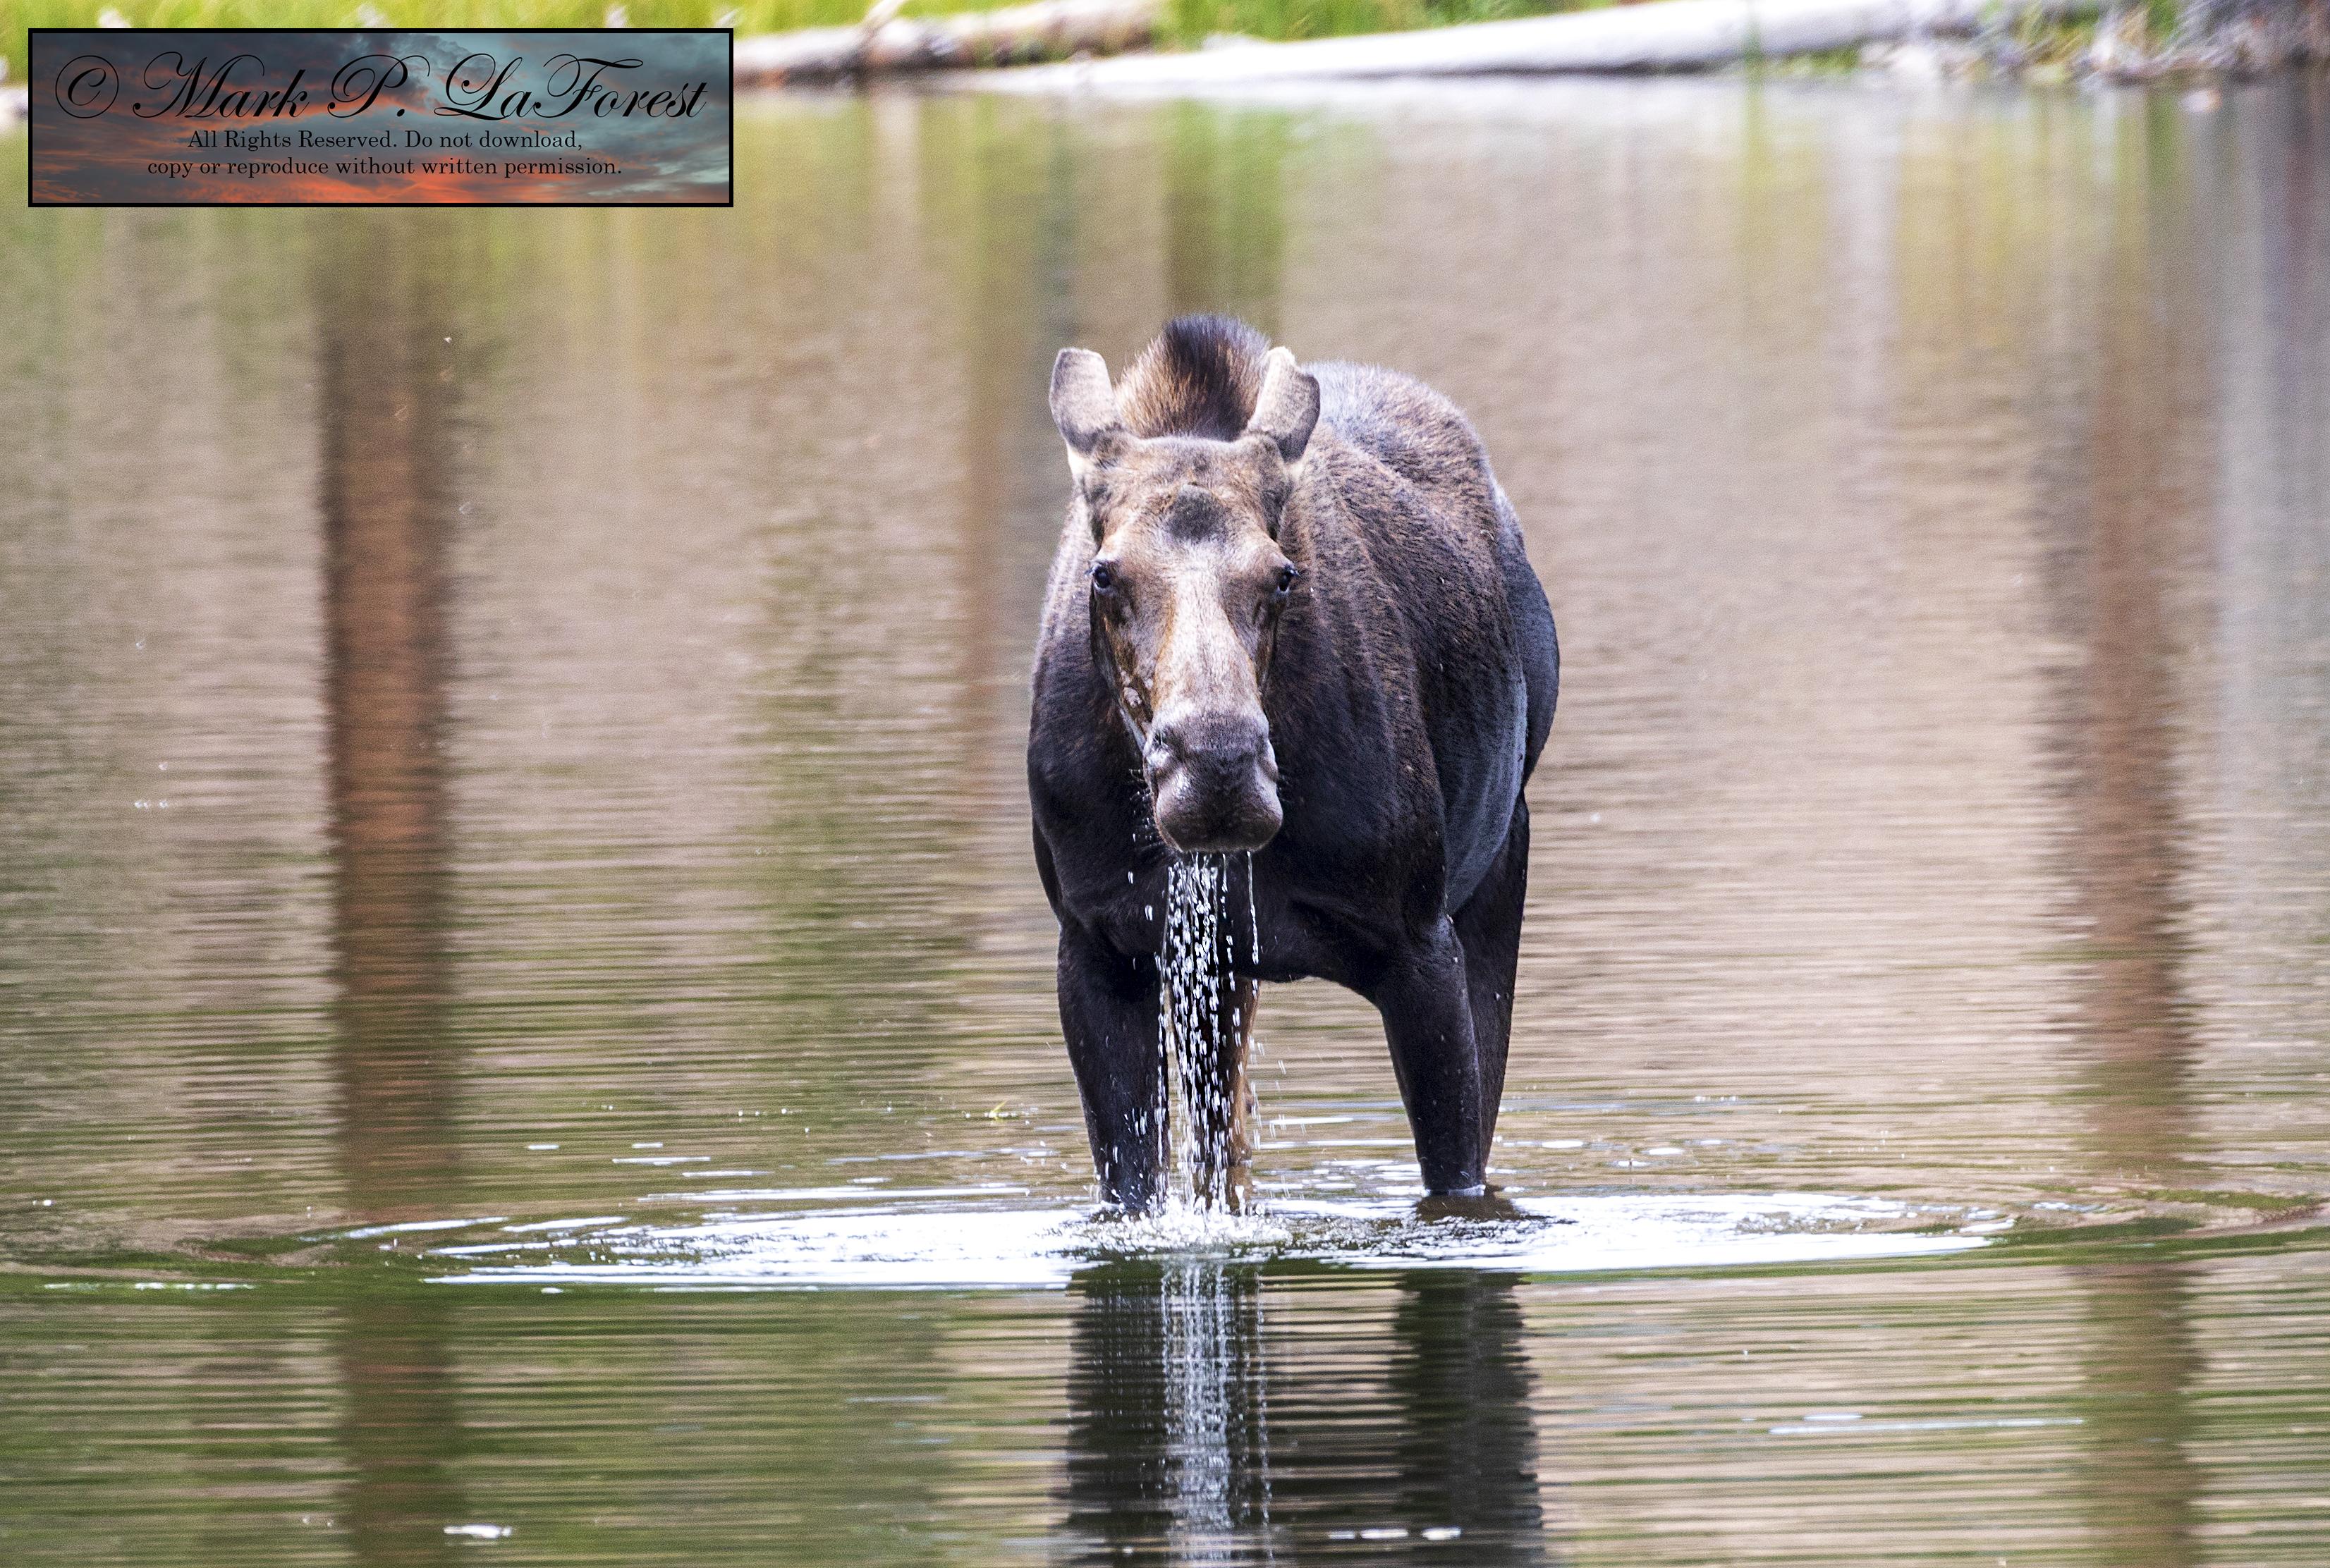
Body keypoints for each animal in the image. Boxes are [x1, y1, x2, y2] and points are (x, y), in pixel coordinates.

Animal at [1027, 316, 1558, 1210]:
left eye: (1281, 575)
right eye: (1104, 574)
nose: (1217, 770)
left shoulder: (1421, 946)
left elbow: (1456, 1182)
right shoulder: (1098, 948)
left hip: (1499, 863)